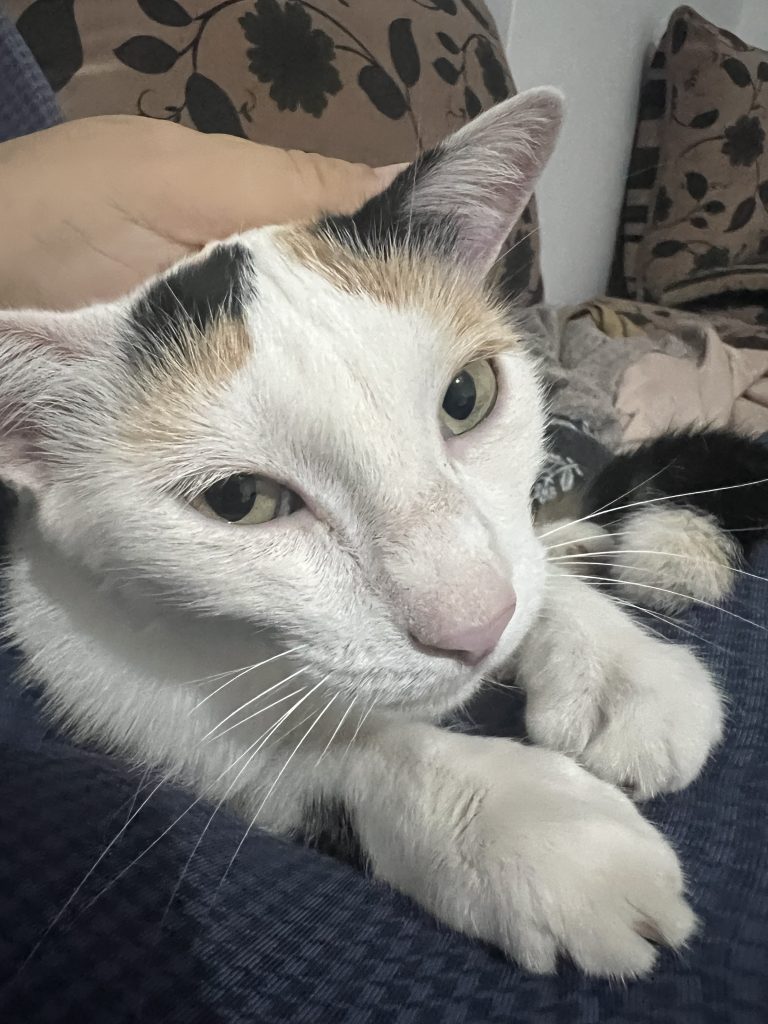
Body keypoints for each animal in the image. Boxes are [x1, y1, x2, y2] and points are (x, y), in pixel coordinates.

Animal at [0, 87, 757, 978]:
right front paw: (537, 836)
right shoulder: (66, 635)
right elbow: (289, 743)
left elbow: (528, 565)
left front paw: (618, 668)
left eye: (466, 396)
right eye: (241, 501)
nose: (475, 629)